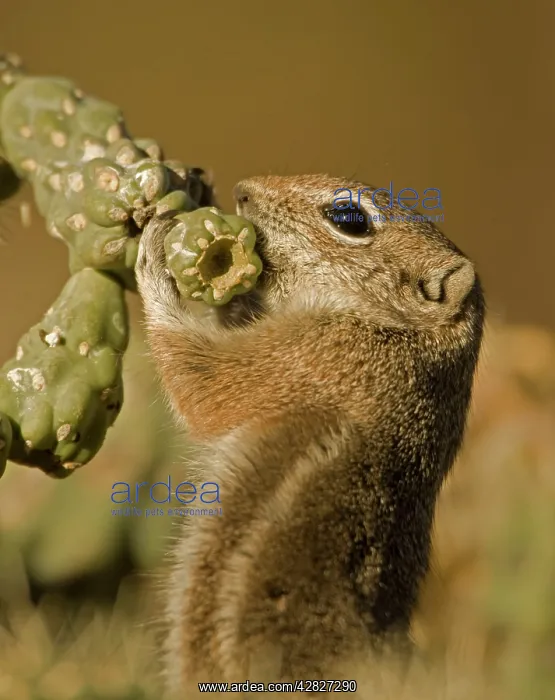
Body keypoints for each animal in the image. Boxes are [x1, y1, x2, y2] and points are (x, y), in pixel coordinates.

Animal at [134, 174, 485, 695]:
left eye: (349, 218)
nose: (242, 190)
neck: (406, 336)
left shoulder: (314, 356)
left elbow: (205, 388)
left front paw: (154, 250)